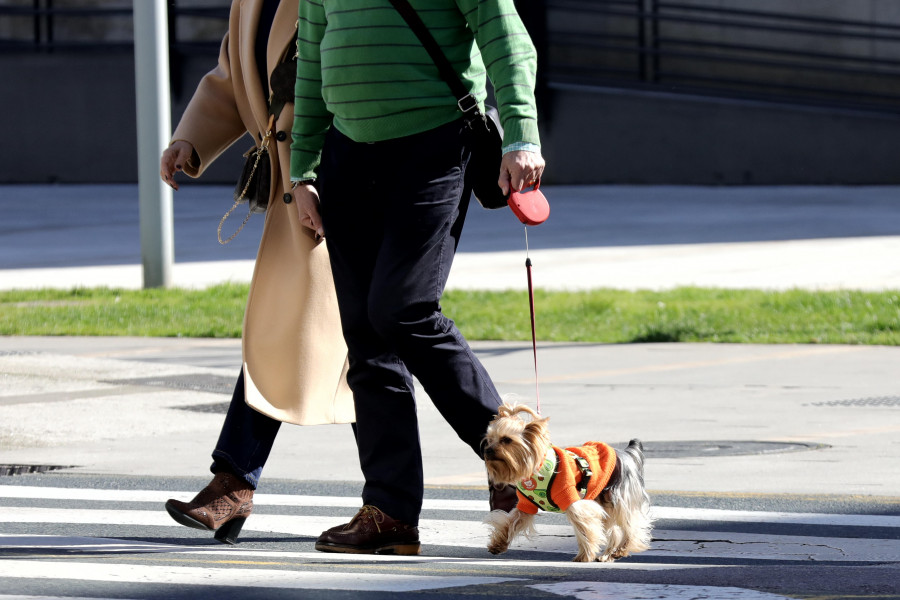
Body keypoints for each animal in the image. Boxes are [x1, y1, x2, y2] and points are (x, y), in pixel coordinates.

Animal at [486, 404, 652, 564]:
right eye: (489, 439)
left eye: (507, 440)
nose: (487, 450)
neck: (537, 469)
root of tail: (626, 454)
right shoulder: (526, 505)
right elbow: (510, 522)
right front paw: (498, 545)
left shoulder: (570, 497)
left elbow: (585, 527)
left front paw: (585, 556)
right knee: (615, 528)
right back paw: (608, 555)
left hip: (619, 498)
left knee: (630, 523)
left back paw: (621, 549)